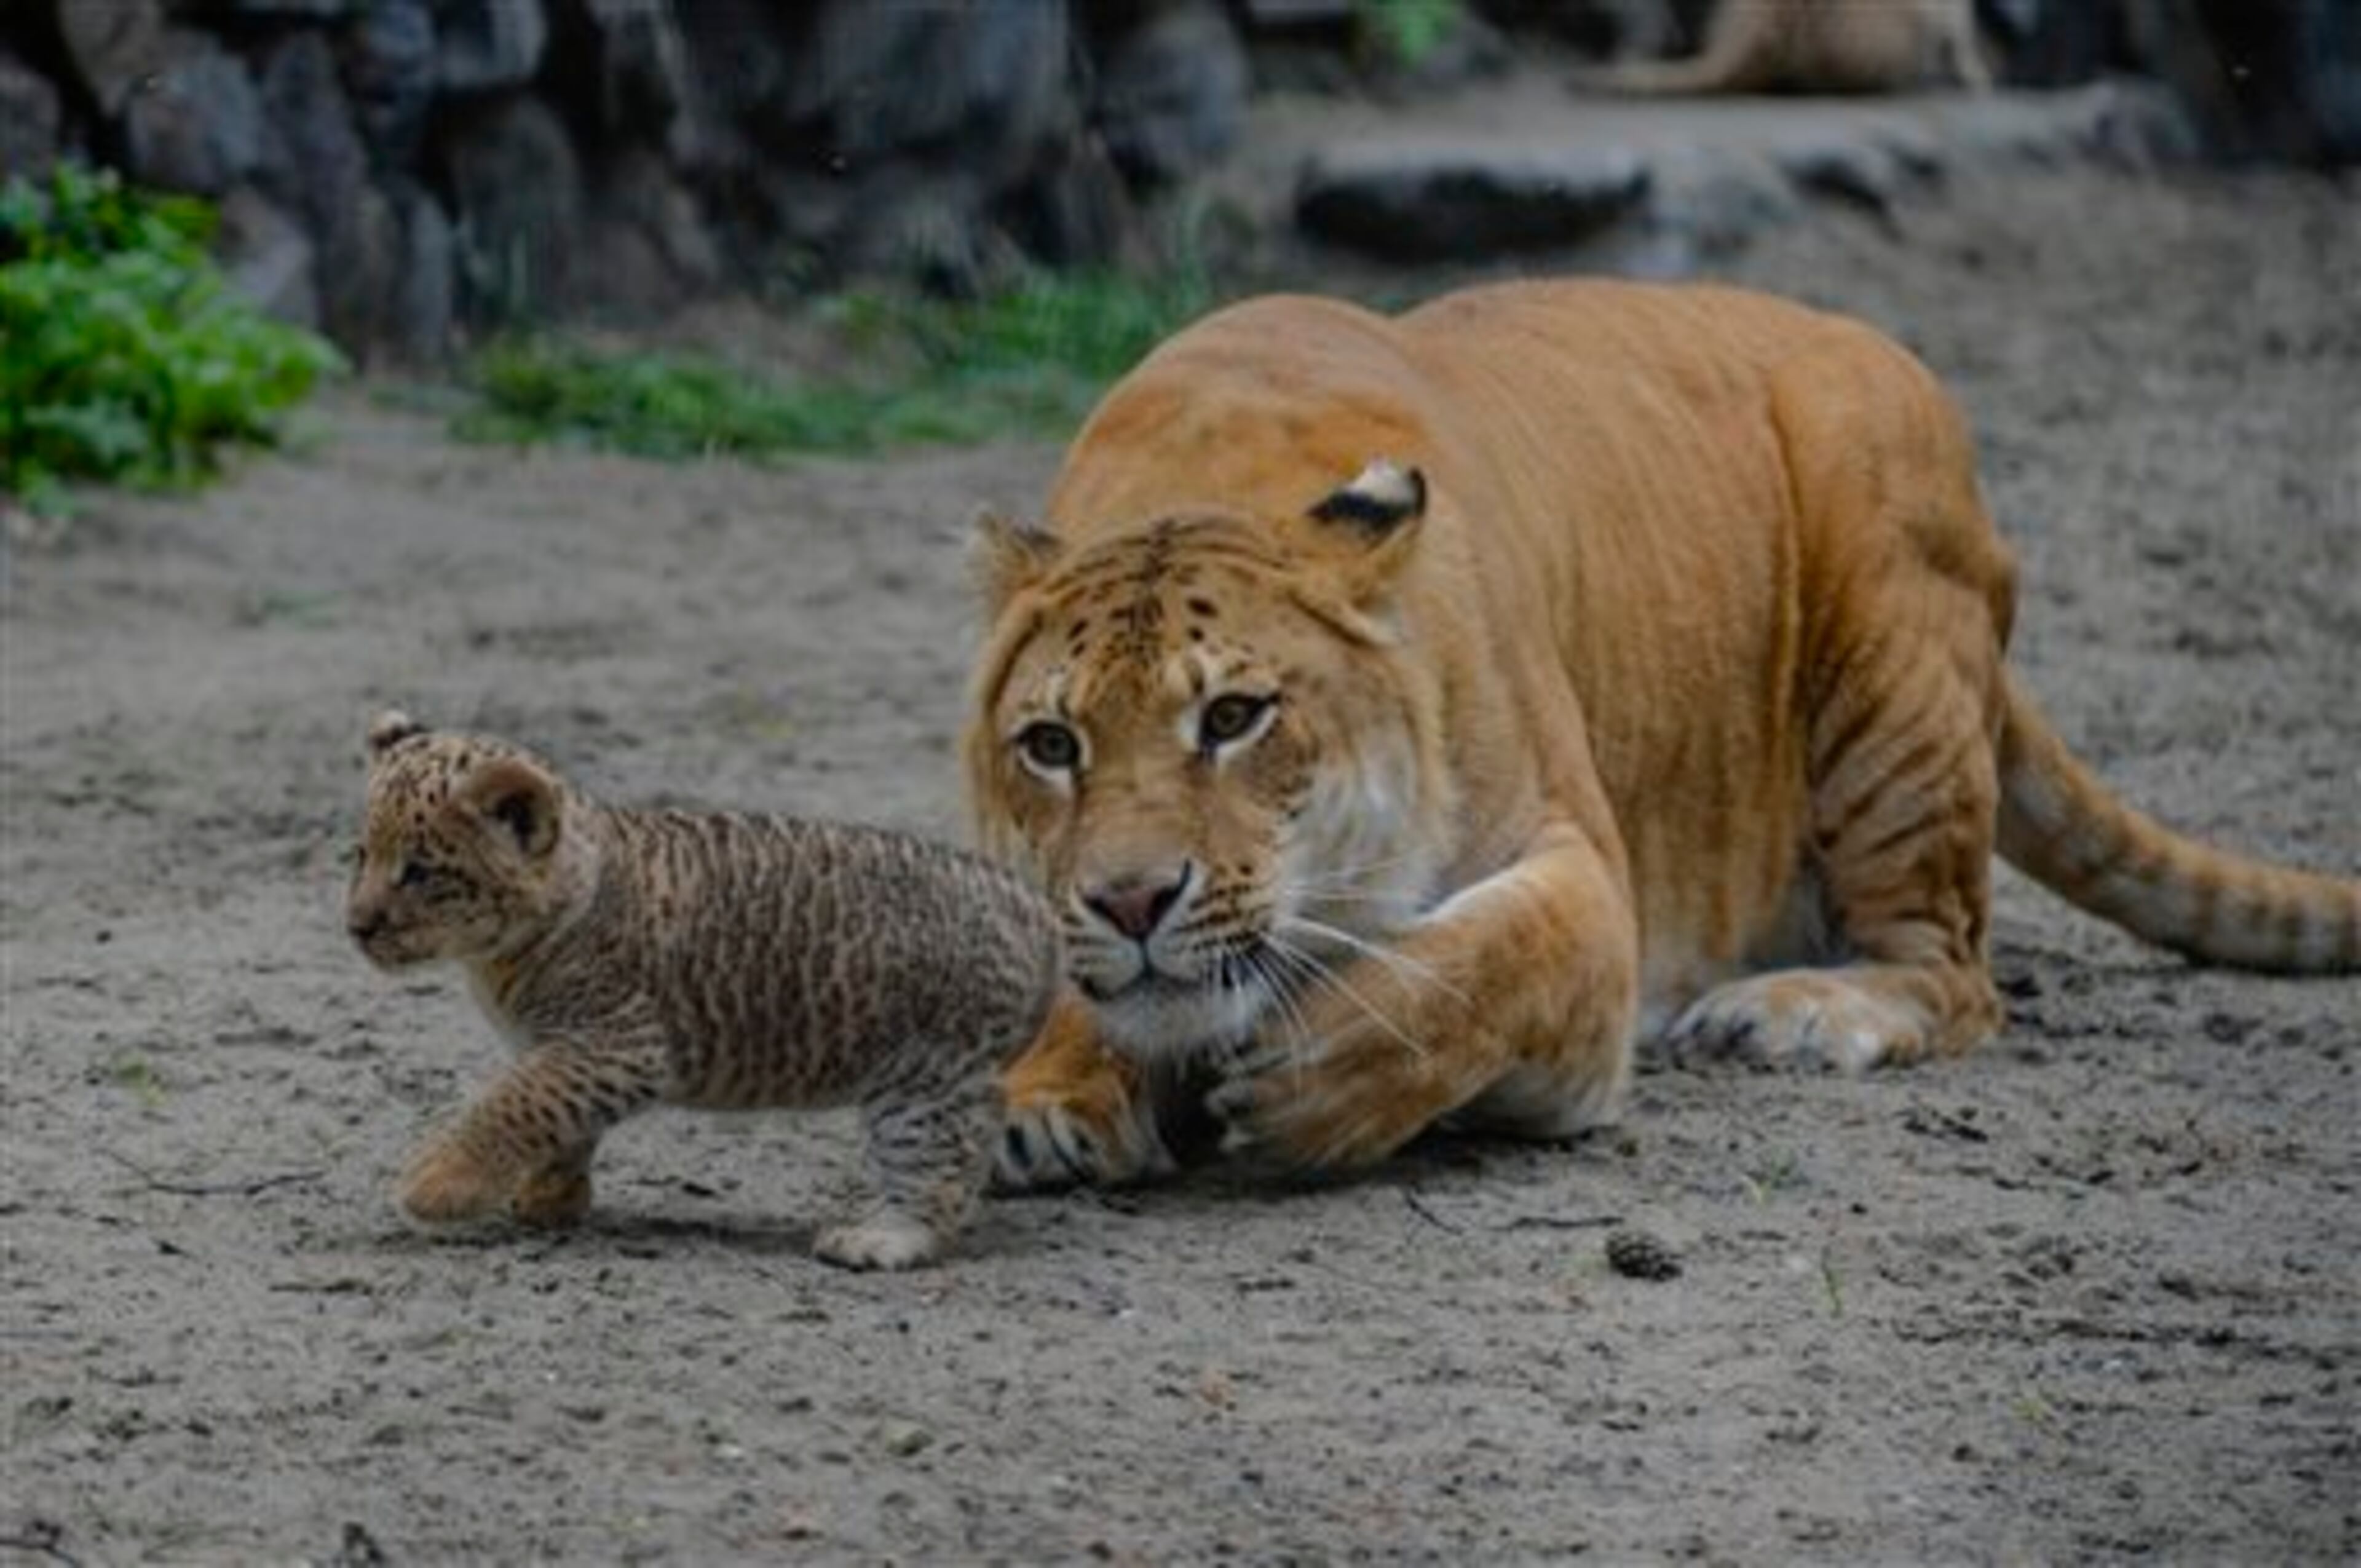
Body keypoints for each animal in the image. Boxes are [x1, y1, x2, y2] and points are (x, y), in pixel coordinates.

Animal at [961, 278, 2359, 1190]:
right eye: (1052, 746)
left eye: (1236, 718)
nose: (1134, 900)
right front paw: (1047, 1099)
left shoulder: (1587, 883)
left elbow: (1479, 971)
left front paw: (1311, 1077)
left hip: (1887, 642)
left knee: (1957, 971)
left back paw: (1790, 1016)